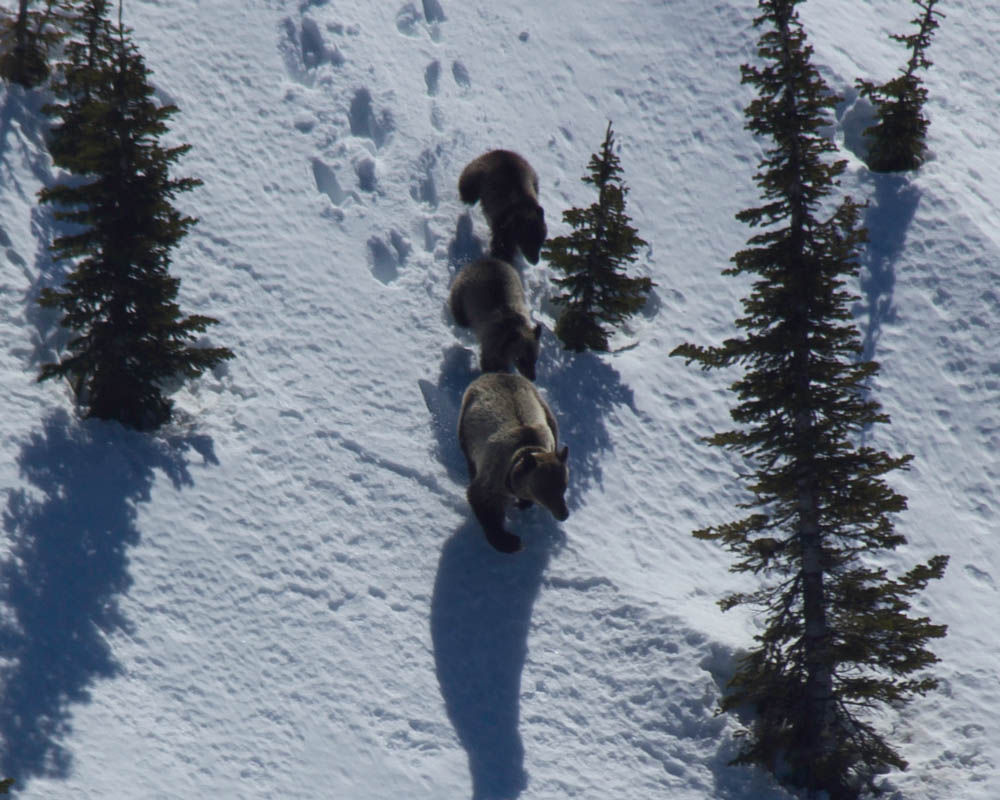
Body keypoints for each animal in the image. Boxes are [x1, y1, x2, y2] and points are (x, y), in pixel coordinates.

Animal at [458, 372, 569, 553]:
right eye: (544, 489)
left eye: (563, 486)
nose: (563, 513)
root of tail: (497, 373)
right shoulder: (495, 473)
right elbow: (482, 499)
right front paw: (509, 541)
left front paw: (524, 503)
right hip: (467, 422)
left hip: (543, 406)